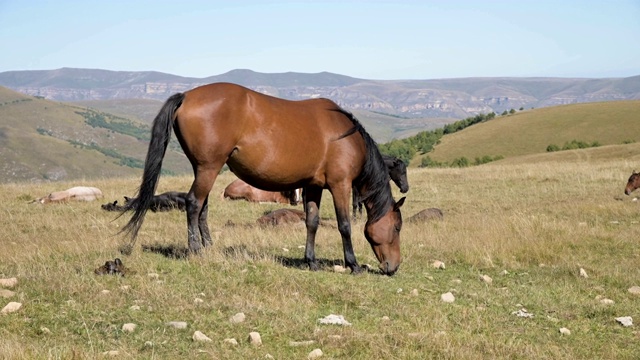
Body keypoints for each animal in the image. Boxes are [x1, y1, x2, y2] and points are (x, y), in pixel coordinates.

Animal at [124, 82, 404, 276]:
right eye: (397, 227)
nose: (393, 267)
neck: (348, 136)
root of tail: (187, 96)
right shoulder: (340, 185)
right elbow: (345, 225)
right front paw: (353, 264)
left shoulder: (313, 186)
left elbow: (312, 222)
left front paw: (311, 261)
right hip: (208, 168)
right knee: (193, 203)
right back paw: (195, 251)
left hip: (203, 168)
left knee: (202, 207)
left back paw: (209, 247)